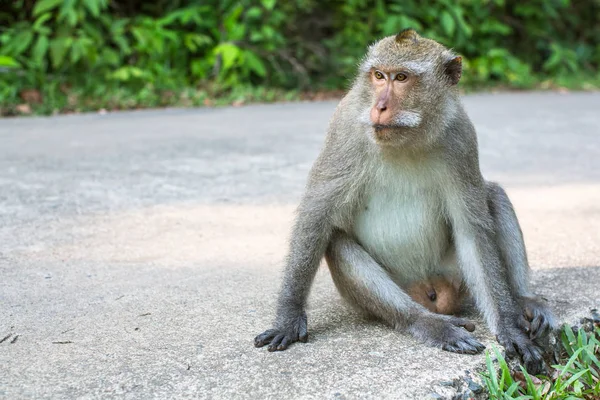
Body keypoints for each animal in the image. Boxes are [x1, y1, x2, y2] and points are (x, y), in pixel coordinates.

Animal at [252, 28, 552, 376]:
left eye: (402, 78)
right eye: (379, 76)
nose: (380, 106)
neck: (409, 137)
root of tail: (430, 290)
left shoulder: (462, 136)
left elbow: (472, 230)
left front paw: (509, 327)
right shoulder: (345, 129)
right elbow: (317, 214)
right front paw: (288, 317)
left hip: (455, 274)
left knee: (494, 196)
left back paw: (524, 301)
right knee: (337, 242)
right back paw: (426, 323)